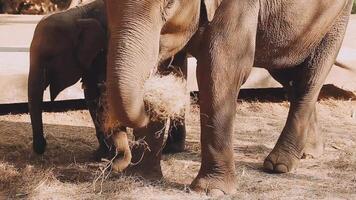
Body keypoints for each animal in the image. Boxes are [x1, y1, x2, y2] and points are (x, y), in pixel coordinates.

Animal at [103, 0, 354, 195]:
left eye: (169, 3)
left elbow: (219, 70)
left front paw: (212, 190)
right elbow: (168, 63)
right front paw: (140, 177)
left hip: (337, 18)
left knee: (309, 78)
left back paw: (279, 164)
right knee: (286, 72)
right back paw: (310, 151)